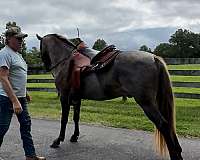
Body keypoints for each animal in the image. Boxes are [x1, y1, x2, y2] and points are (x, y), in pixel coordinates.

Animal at [36, 33, 183, 159]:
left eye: (41, 48)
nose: (46, 66)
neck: (66, 61)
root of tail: (153, 58)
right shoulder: (77, 98)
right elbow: (76, 118)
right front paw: (74, 136)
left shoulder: (64, 97)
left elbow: (64, 119)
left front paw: (58, 140)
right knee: (169, 125)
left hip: (147, 103)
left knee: (163, 125)